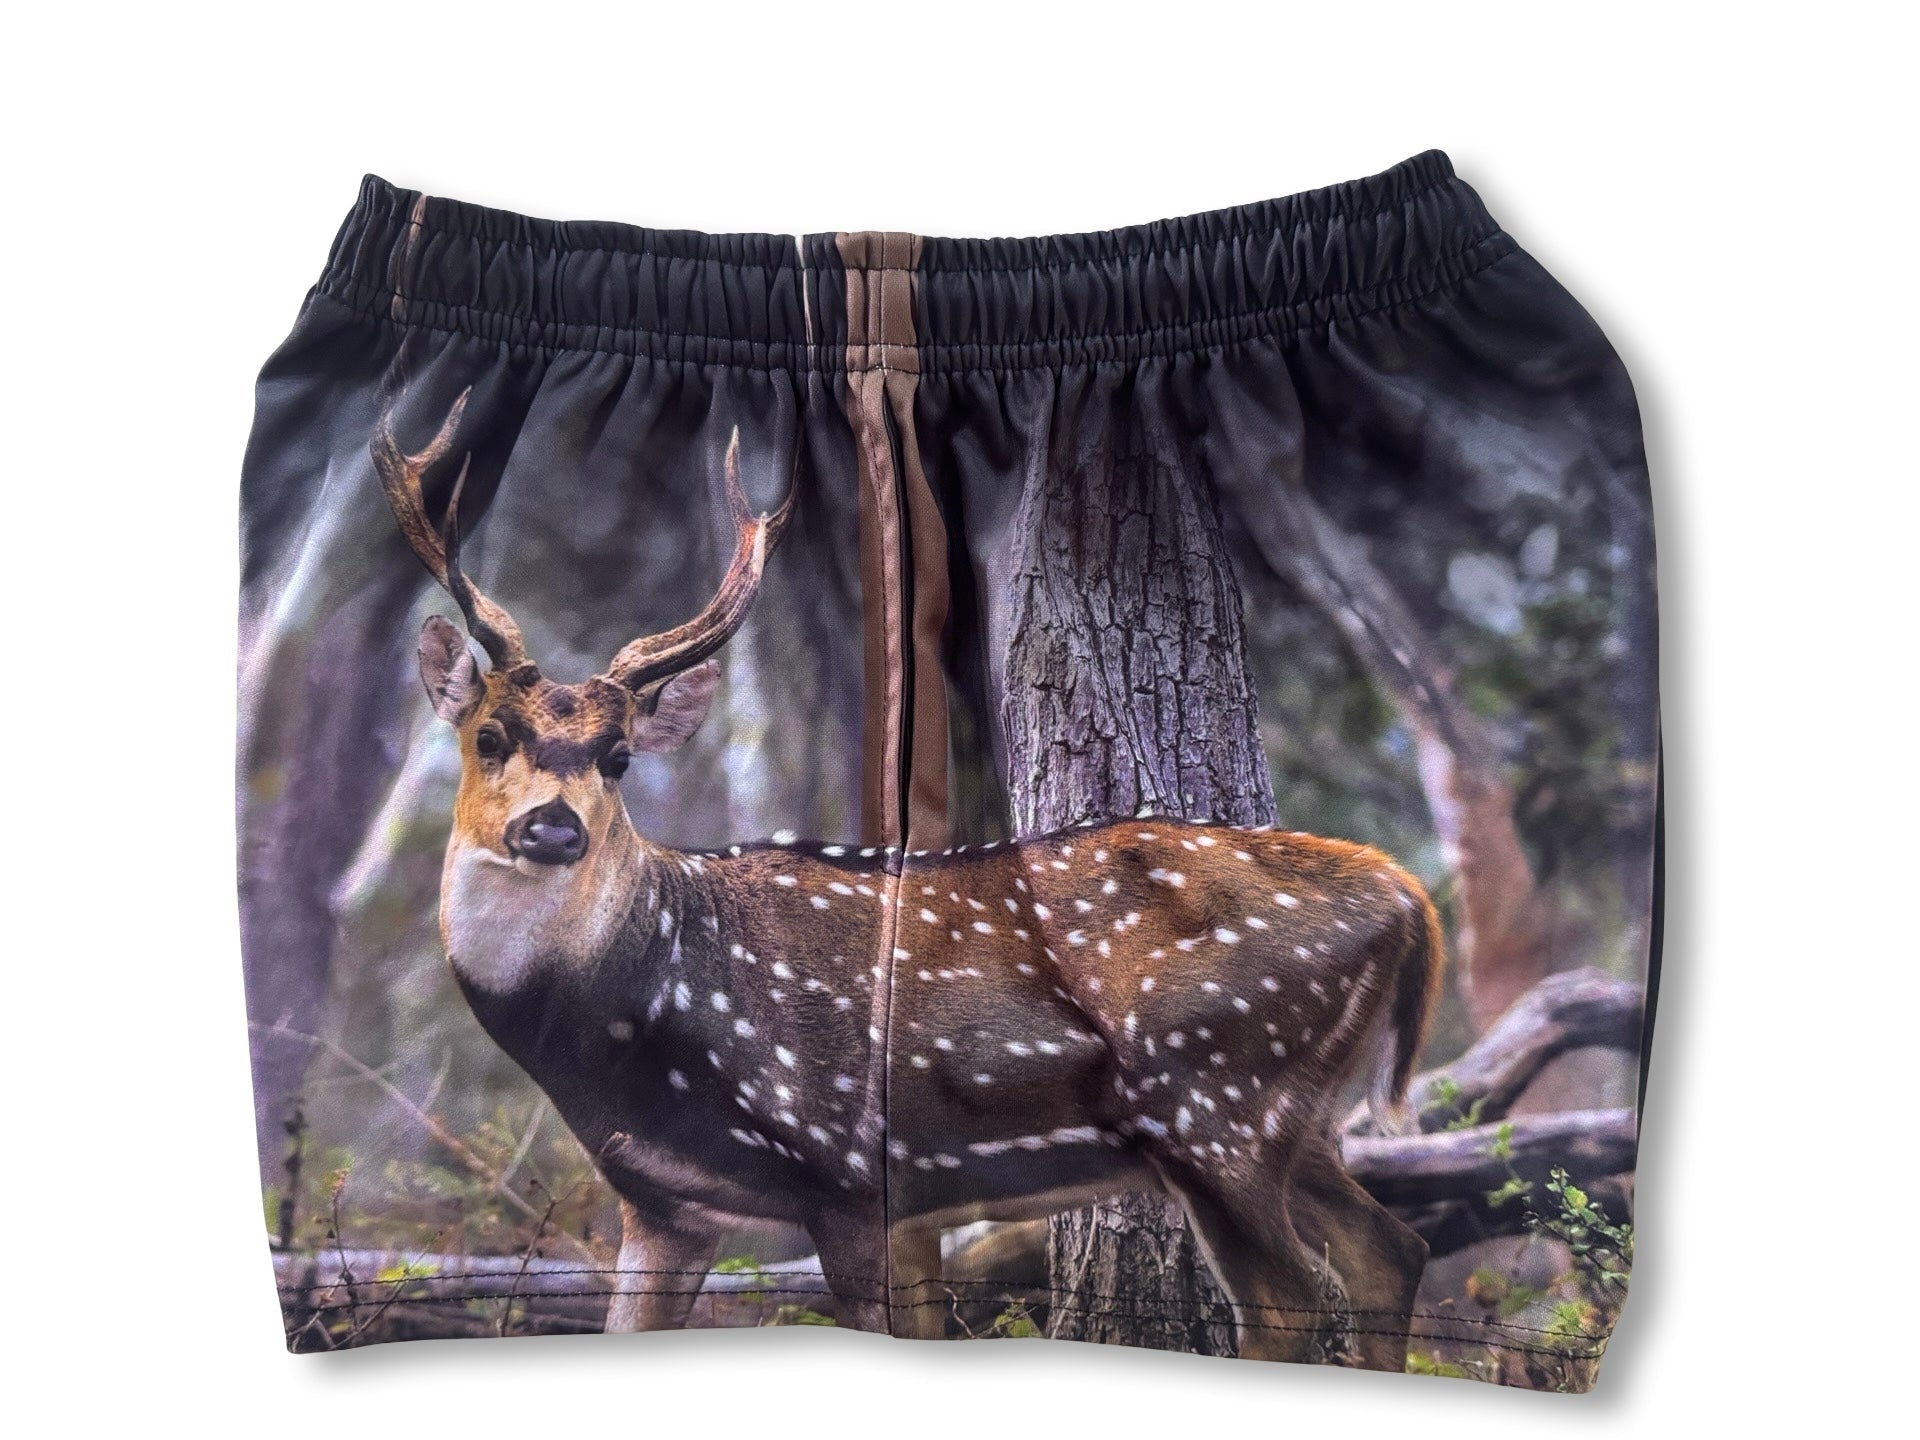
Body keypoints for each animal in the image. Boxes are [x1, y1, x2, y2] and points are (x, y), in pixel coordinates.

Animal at [372, 384, 1444, 1368]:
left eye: (620, 756)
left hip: (1218, 1099)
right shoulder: (663, 1205)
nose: (552, 828)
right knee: (1392, 1245)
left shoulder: (848, 1167)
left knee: (1293, 1301)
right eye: (489, 735)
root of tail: (1409, 900)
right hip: (1293, 1120)